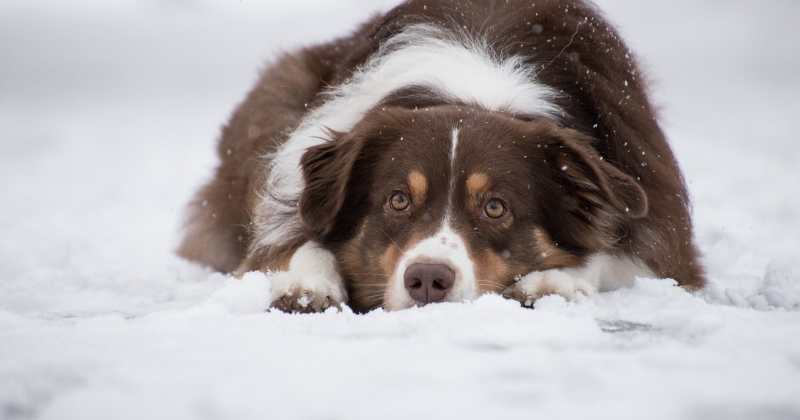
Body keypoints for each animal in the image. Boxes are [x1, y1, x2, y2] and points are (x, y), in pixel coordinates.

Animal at [178, 0, 704, 312]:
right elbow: (295, 243)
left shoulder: (661, 225)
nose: (428, 280)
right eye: (398, 200)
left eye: (495, 207)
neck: (477, 89)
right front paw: (306, 284)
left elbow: (615, 252)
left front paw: (553, 282)